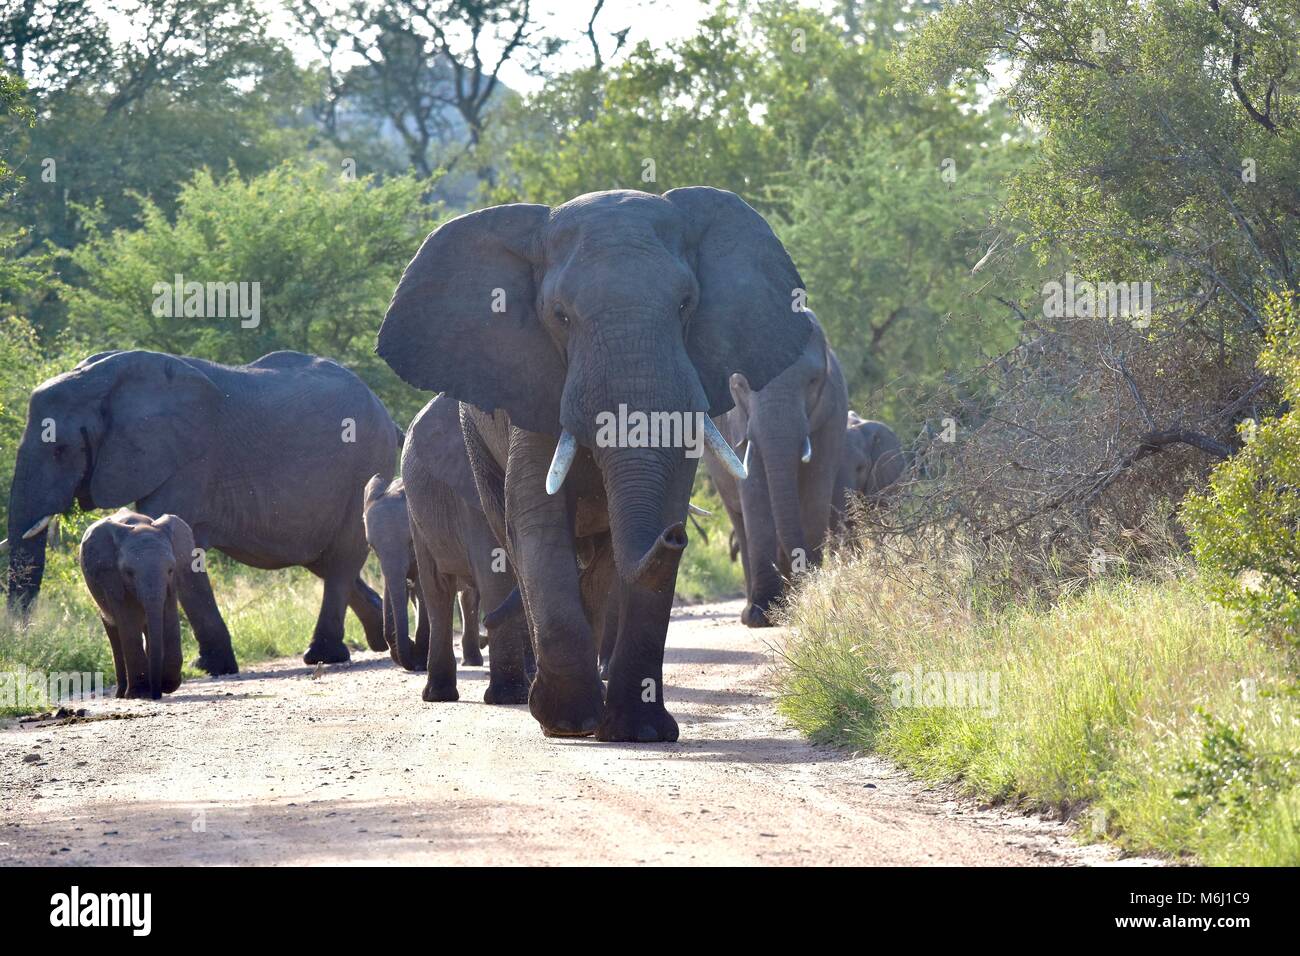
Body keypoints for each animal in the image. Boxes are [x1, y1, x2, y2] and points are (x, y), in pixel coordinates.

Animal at [6, 348, 395, 671]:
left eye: (60, 449)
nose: (23, 642)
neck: (99, 381)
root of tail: (384, 408)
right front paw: (209, 666)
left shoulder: (189, 459)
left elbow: (180, 545)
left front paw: (211, 667)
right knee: (324, 560)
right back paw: (381, 642)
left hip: (366, 465)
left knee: (341, 558)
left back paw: (323, 656)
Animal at [80, 512, 192, 697]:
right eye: (129, 572)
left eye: (170, 570)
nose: (157, 694)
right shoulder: (112, 577)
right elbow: (128, 622)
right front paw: (139, 693)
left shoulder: (172, 582)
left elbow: (169, 617)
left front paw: (167, 684)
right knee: (115, 635)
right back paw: (122, 693)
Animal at [361, 476, 483, 671]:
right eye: (372, 547)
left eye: (411, 542)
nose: (409, 652)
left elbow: (423, 592)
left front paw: (418, 660)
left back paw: (472, 661)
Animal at [707, 314, 847, 629]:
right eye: (740, 385)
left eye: (813, 381)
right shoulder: (738, 421)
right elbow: (755, 494)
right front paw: (762, 614)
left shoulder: (832, 412)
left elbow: (814, 496)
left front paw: (806, 600)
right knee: (739, 520)